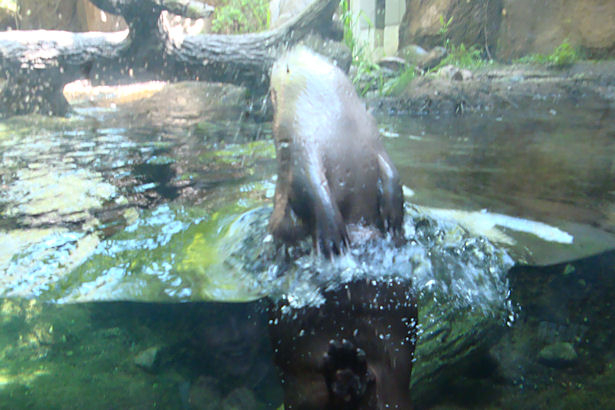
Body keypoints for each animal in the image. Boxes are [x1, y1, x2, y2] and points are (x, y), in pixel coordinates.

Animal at [268, 46, 404, 255]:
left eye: (280, 65)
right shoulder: (374, 139)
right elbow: (391, 172)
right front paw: (394, 221)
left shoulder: (301, 142)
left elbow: (308, 184)